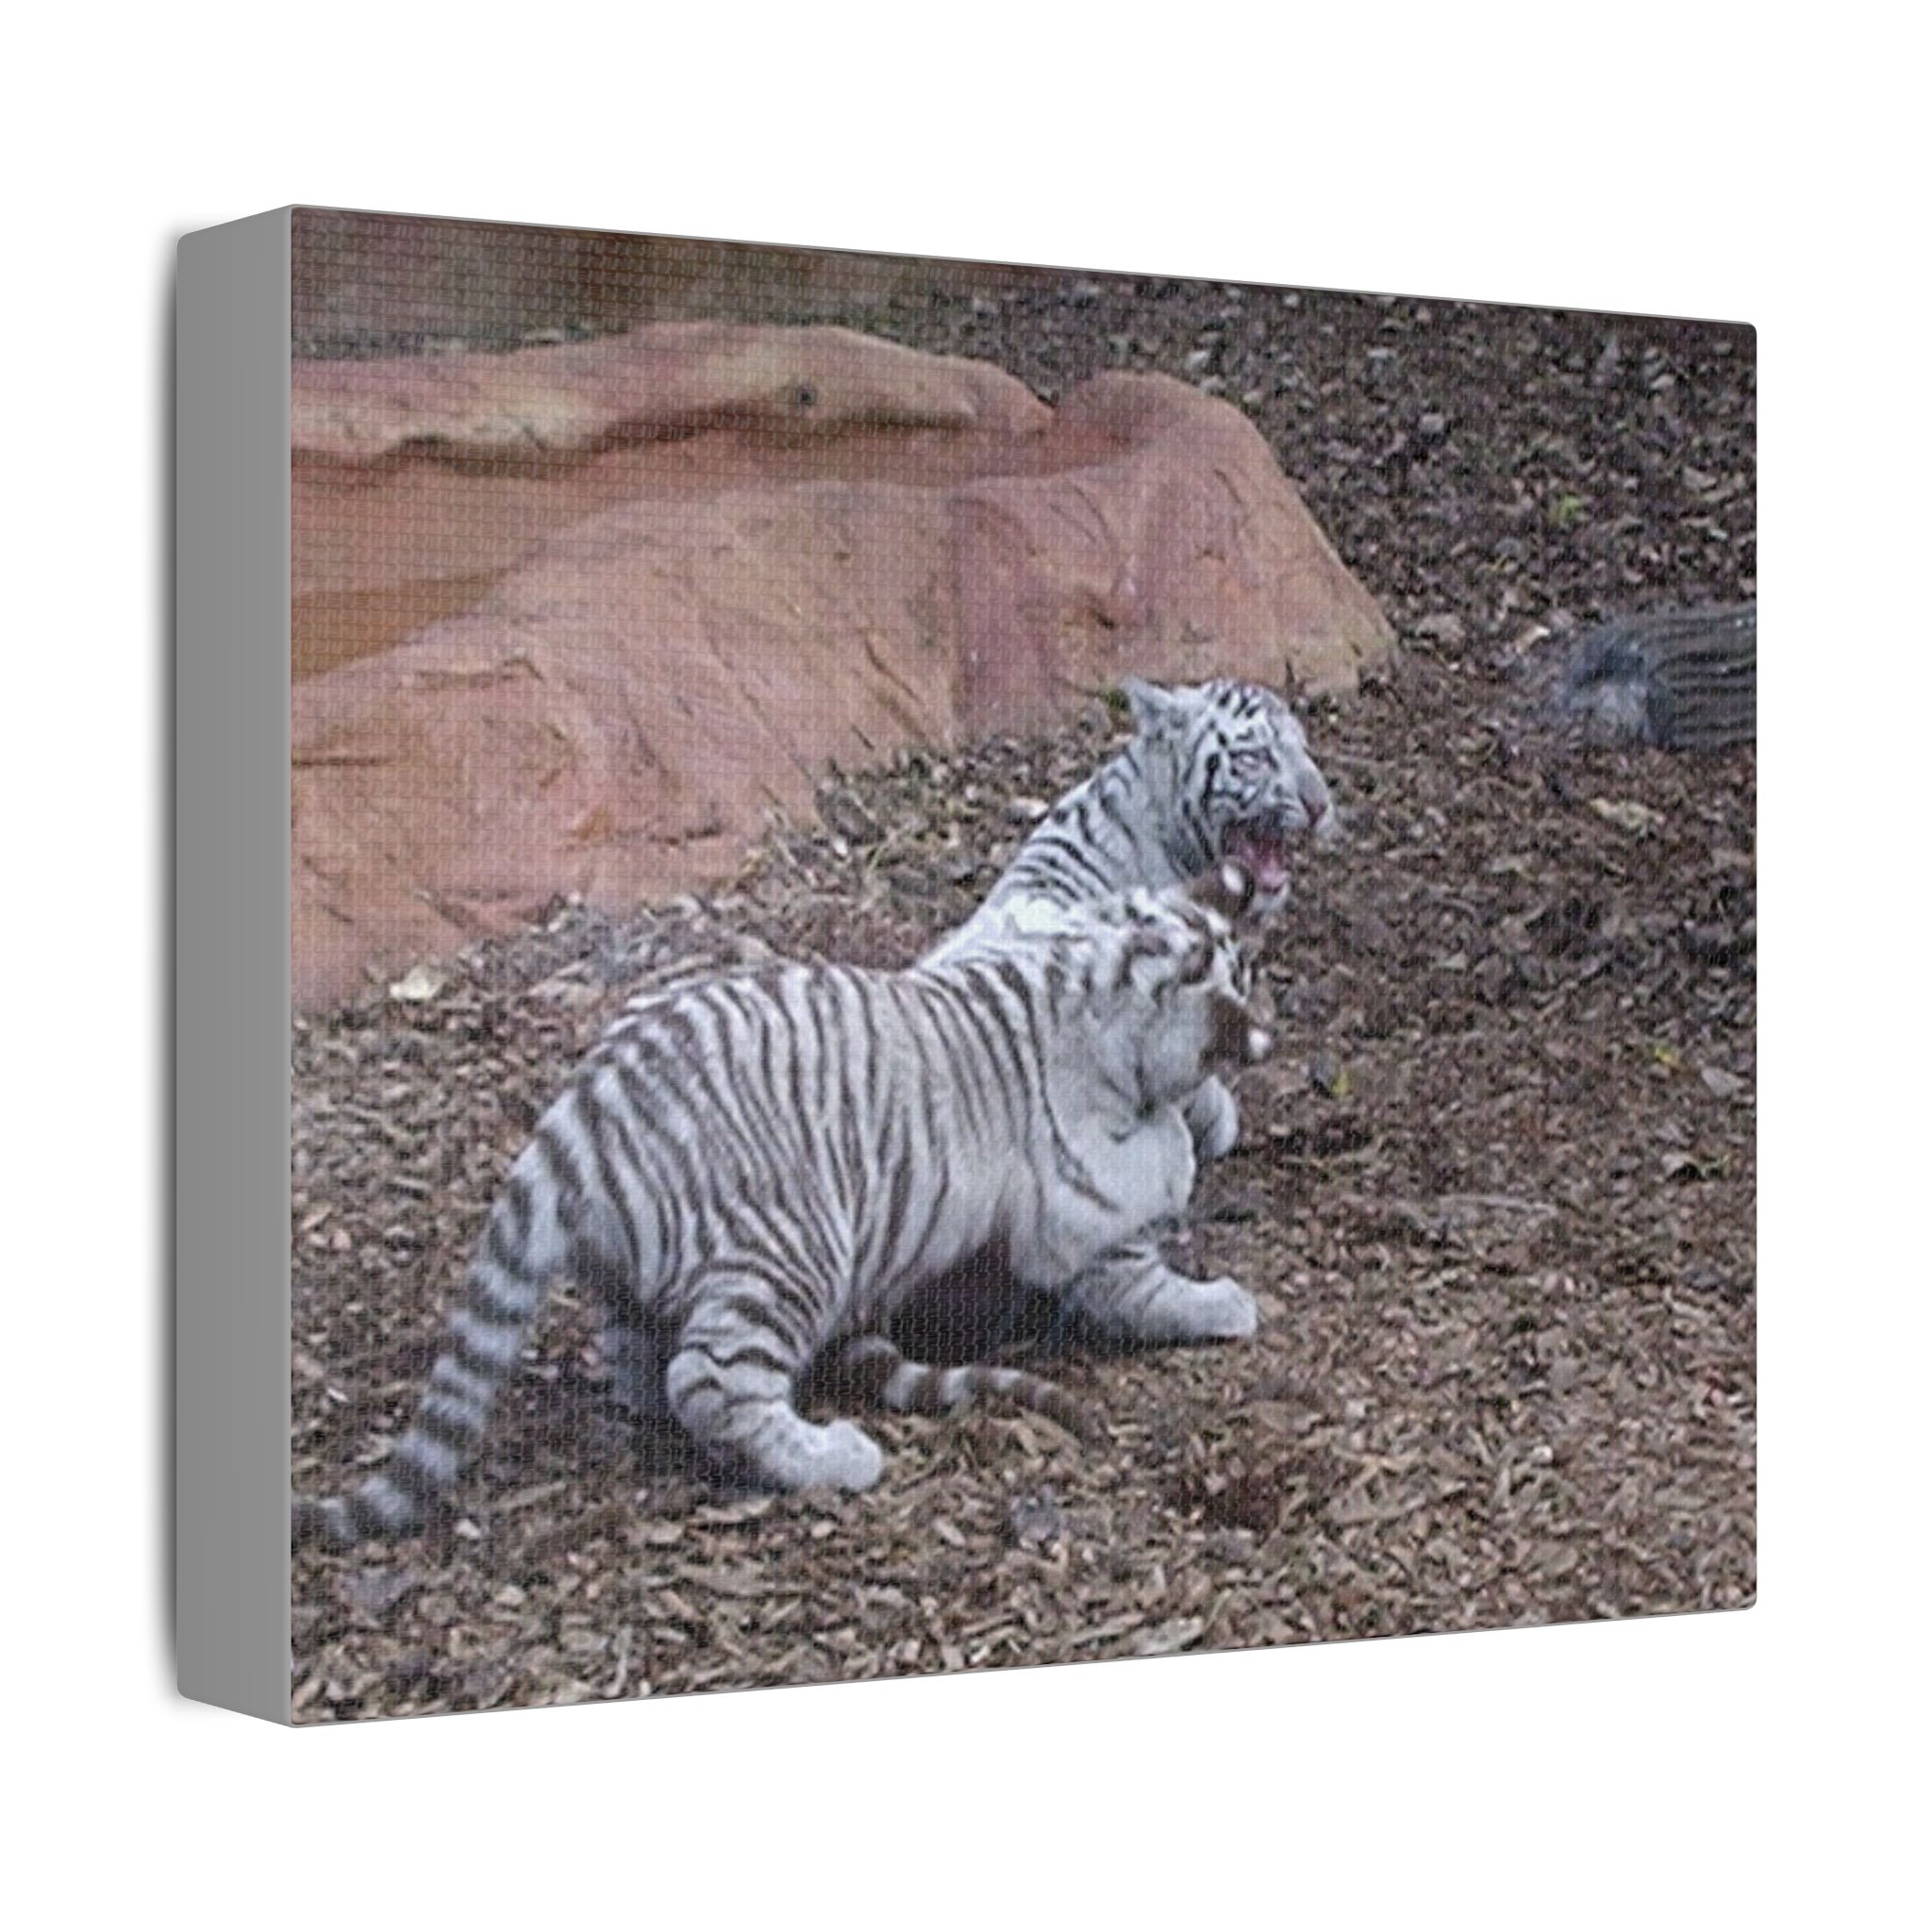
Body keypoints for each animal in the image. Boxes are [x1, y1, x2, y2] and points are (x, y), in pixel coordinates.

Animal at [295, 865, 1272, 1546]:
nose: (1259, 1034)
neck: (1087, 978)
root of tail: (585, 1108)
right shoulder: (1088, 1217)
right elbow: (1144, 1276)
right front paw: (1221, 1301)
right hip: (791, 1252)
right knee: (712, 1382)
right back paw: (831, 1456)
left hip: (645, 1274)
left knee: (642, 1363)